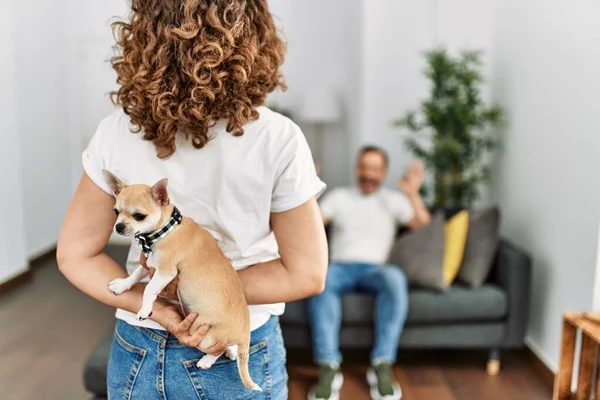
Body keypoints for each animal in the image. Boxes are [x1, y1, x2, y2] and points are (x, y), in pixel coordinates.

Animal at [101, 170, 260, 392]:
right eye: (116, 212)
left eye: (139, 216)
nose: (119, 226)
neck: (165, 231)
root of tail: (245, 335)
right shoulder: (150, 263)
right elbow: (136, 274)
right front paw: (122, 285)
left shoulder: (165, 272)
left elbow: (149, 289)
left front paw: (144, 310)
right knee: (228, 346)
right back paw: (231, 352)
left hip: (205, 335)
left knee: (217, 349)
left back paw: (207, 360)